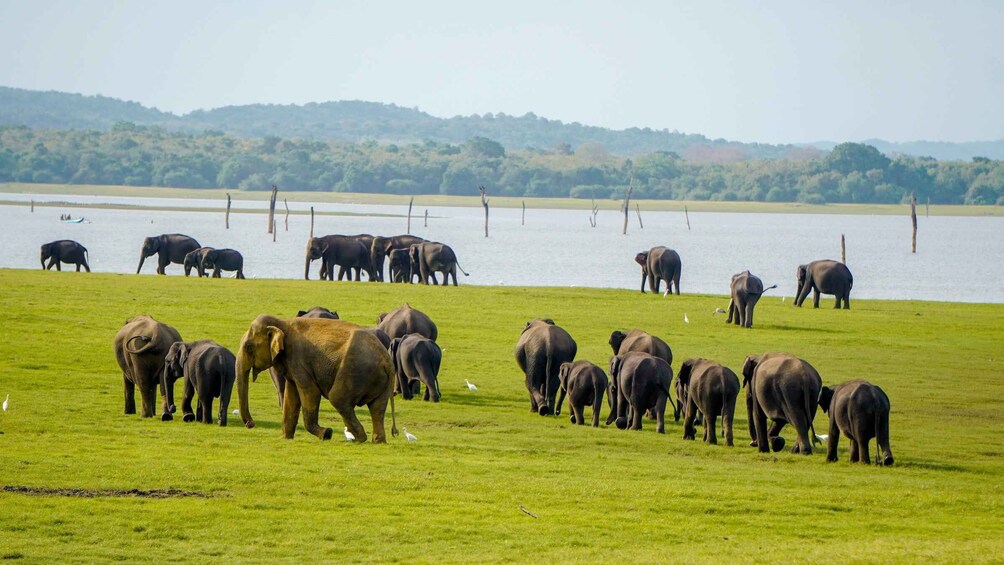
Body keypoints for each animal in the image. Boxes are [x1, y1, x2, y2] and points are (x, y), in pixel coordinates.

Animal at [235, 314, 397, 443]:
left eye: (249, 347)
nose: (250, 423)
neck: (283, 322)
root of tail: (387, 360)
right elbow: (291, 396)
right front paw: (284, 438)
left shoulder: (298, 359)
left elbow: (310, 391)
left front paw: (326, 433)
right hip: (381, 381)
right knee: (377, 408)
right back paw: (377, 441)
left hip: (354, 372)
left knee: (338, 399)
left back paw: (358, 439)